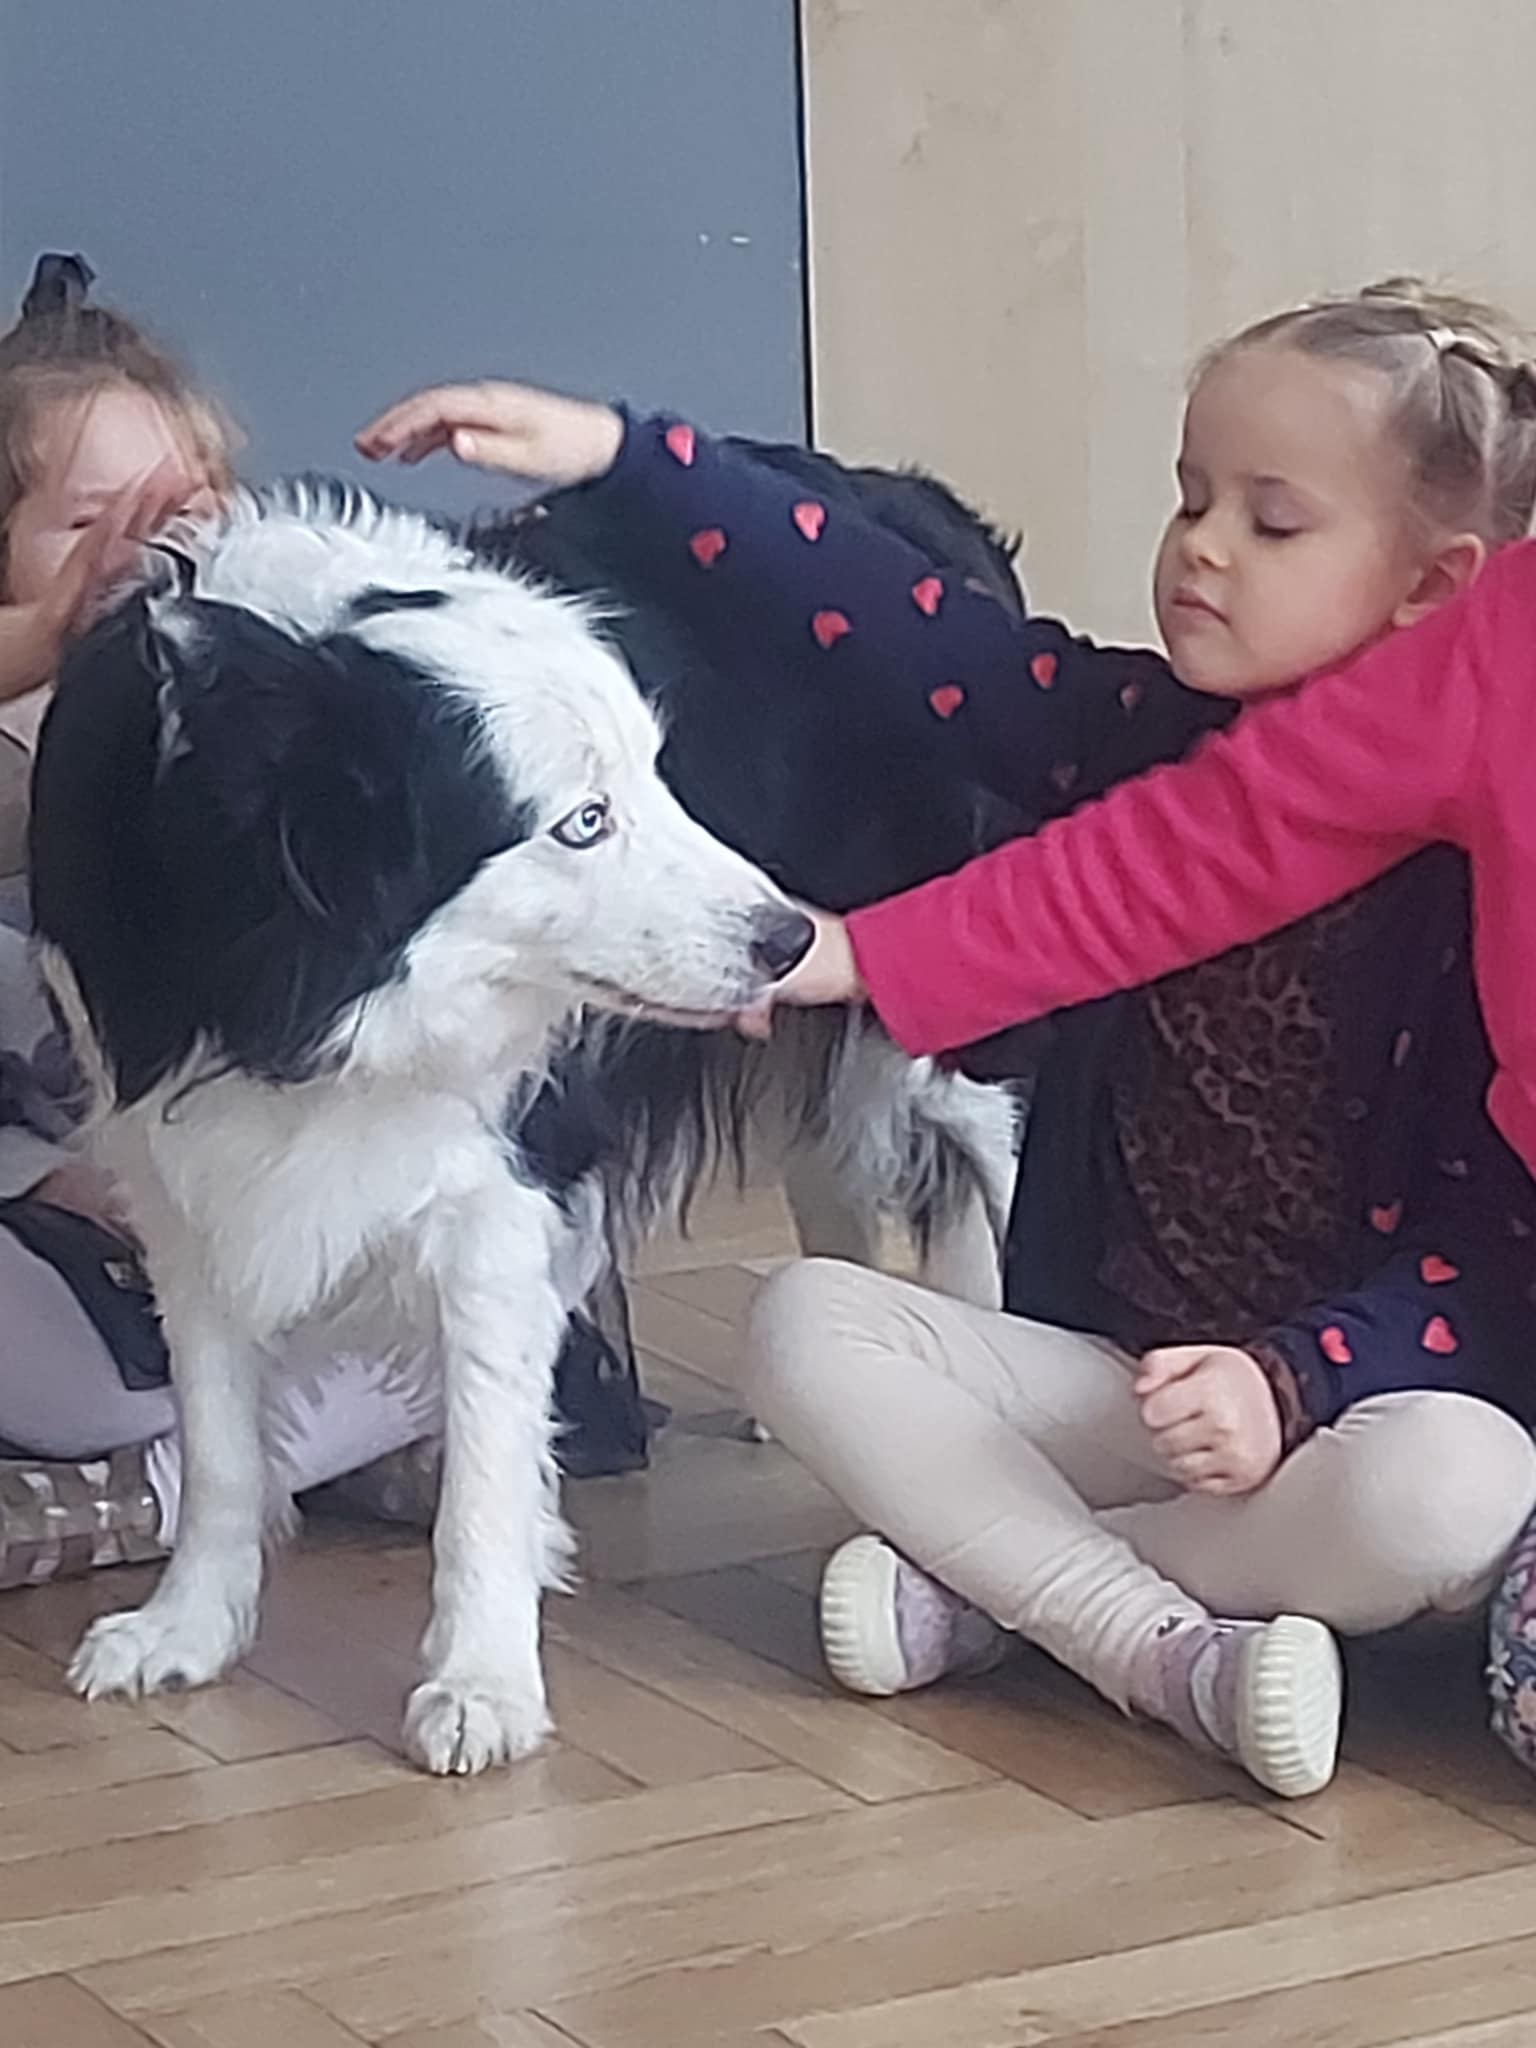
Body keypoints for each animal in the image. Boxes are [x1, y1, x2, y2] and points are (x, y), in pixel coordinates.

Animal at [29, 484, 818, 1774]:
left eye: (660, 777)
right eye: (584, 821)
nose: (789, 935)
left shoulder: (496, 1196)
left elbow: (485, 1456)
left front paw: (482, 1677)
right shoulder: (179, 1177)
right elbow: (217, 1430)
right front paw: (189, 1625)